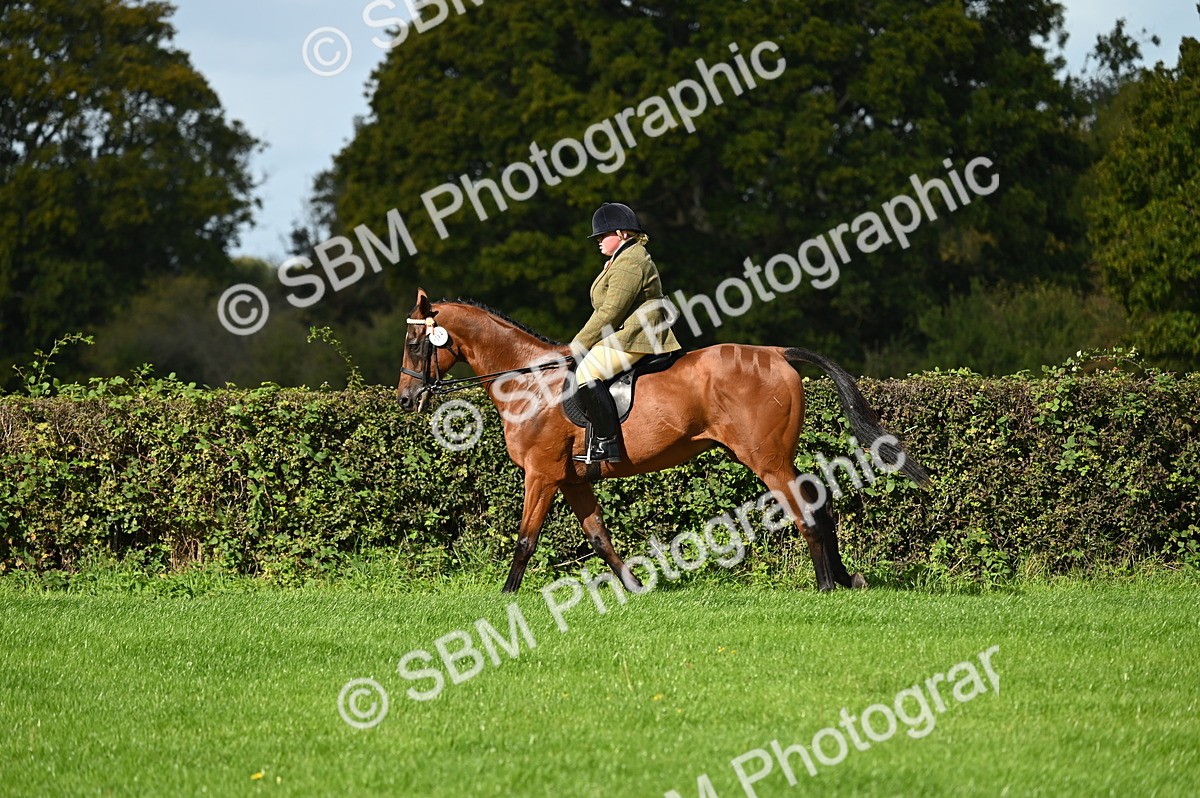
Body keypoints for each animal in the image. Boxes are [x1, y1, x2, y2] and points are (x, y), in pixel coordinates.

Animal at [396, 288, 930, 593]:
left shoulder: (541, 474)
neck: (529, 381)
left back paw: (825, 585)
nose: (405, 399)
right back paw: (844, 577)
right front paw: (634, 587)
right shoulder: (572, 479)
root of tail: (776, 353)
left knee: (806, 507)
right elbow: (599, 536)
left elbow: (527, 539)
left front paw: (505, 596)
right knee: (820, 499)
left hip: (766, 457)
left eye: (415, 343)